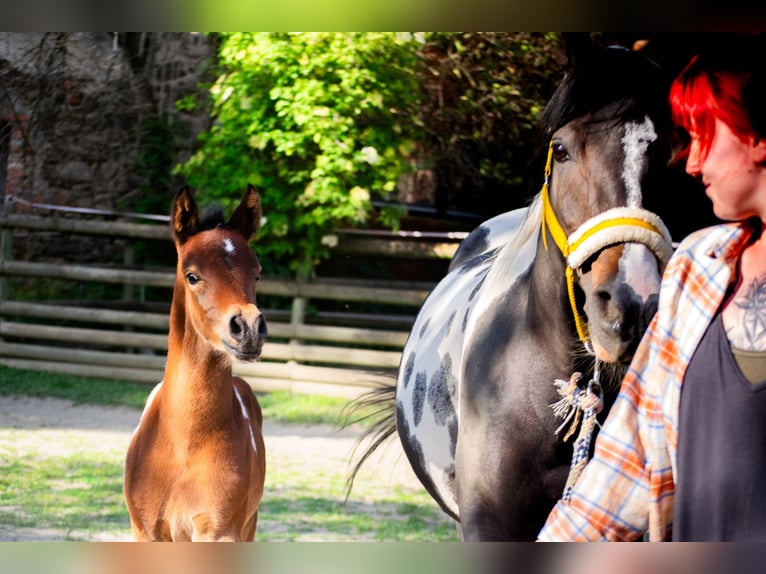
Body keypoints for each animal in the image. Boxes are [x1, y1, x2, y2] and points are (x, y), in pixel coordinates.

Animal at [124, 185, 267, 541]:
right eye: (192, 275)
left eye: (258, 272)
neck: (183, 445)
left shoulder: (220, 532)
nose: (249, 329)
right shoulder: (146, 532)